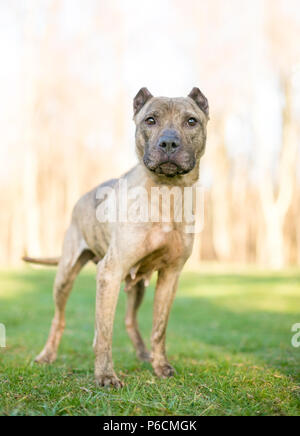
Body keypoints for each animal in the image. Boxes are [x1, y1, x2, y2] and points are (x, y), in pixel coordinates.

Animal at [24, 87, 209, 386]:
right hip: (65, 276)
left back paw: (144, 353)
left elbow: (159, 328)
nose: (169, 143)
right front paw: (105, 375)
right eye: (150, 120)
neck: (166, 193)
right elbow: (104, 333)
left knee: (130, 320)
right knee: (59, 318)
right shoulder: (110, 273)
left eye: (191, 121)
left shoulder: (170, 276)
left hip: (137, 285)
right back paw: (47, 355)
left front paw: (160, 365)